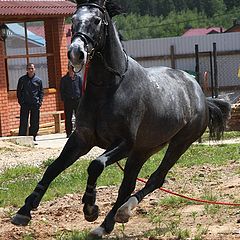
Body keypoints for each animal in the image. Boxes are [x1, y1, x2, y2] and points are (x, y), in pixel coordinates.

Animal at [10, 0, 231, 236]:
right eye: (74, 19)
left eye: (97, 20)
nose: (76, 53)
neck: (108, 87)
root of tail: (199, 94)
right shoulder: (82, 139)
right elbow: (53, 168)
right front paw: (24, 211)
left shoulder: (123, 144)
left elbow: (95, 165)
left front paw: (90, 207)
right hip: (144, 150)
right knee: (129, 185)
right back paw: (108, 223)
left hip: (179, 144)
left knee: (155, 179)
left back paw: (119, 213)